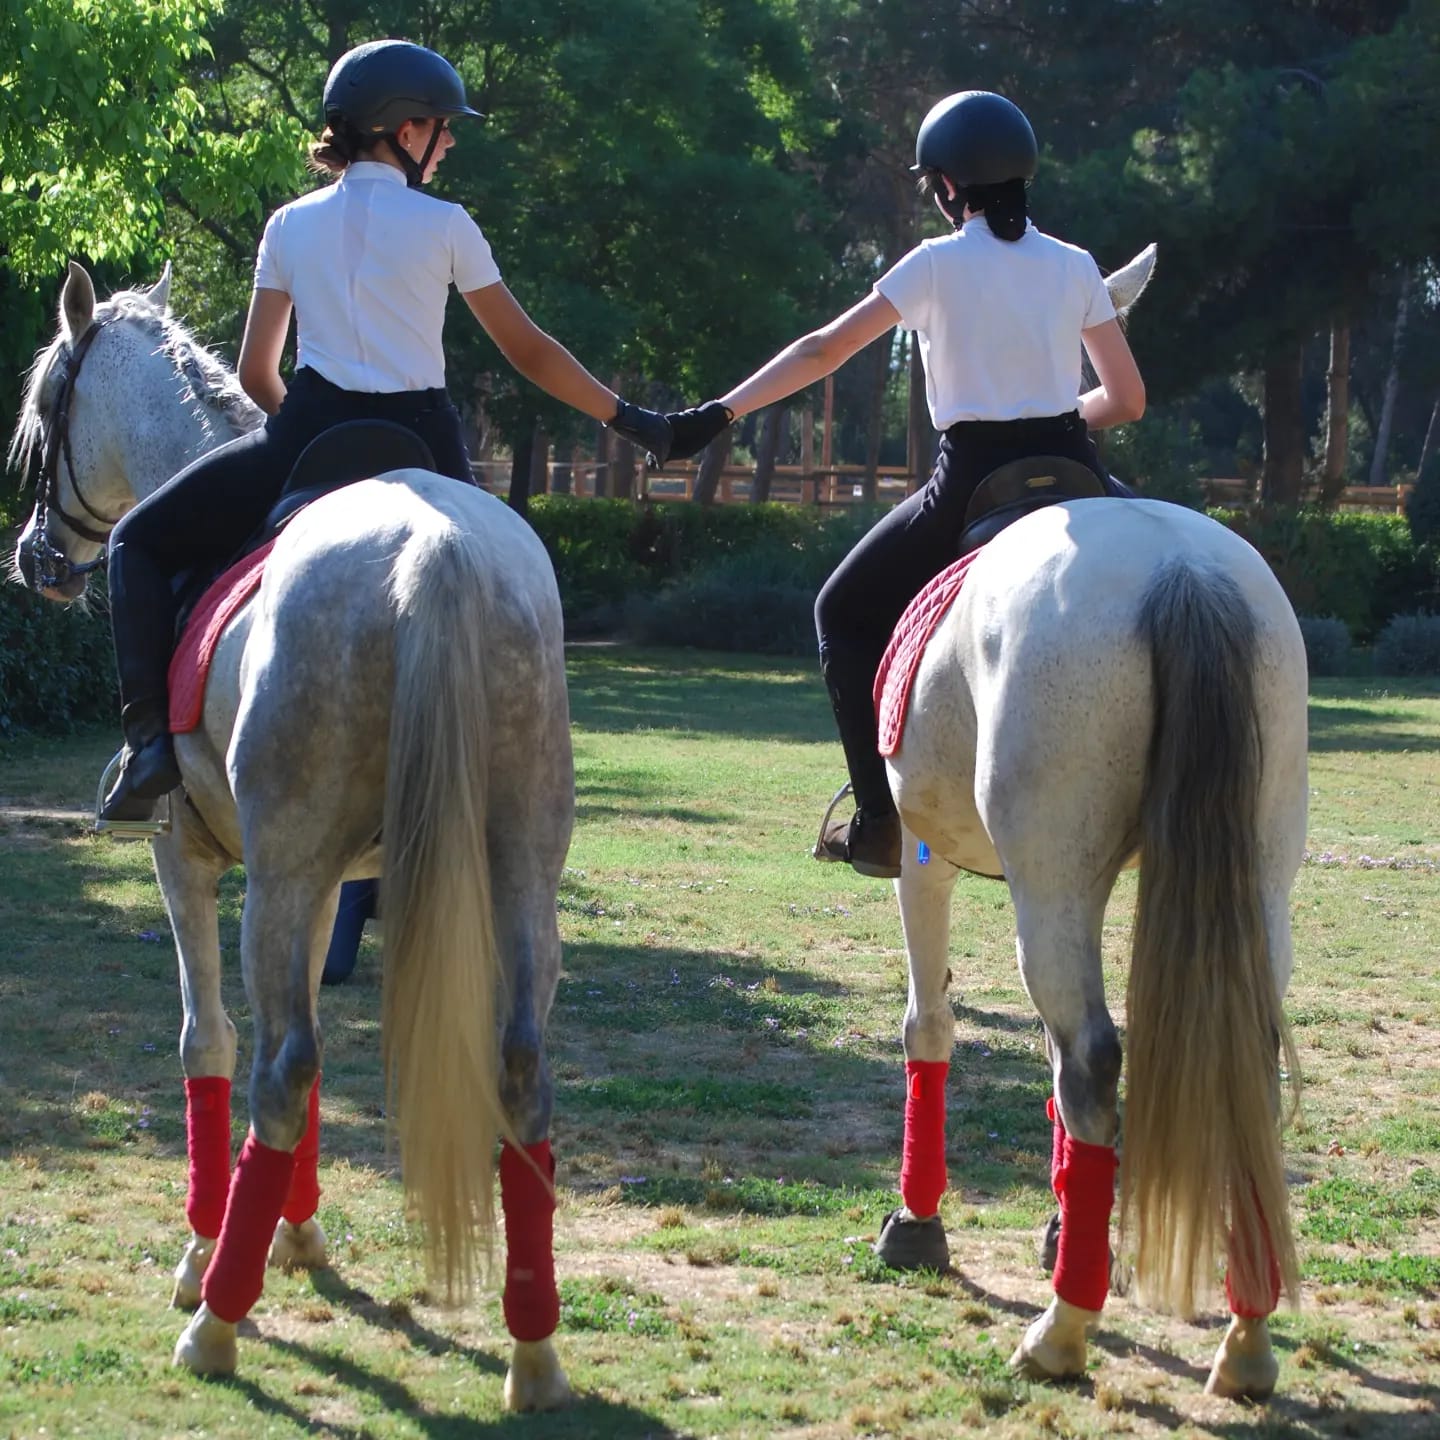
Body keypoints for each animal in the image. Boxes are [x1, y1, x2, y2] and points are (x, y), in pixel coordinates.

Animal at [11, 264, 576, 1411]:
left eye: (45, 415)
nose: (33, 559)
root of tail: (435, 550)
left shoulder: (192, 861)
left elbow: (211, 1043)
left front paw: (209, 1251)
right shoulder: (326, 886)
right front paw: (296, 1235)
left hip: (278, 876)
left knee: (280, 1062)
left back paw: (216, 1324)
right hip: (513, 870)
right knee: (515, 1068)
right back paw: (534, 1352)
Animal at [869, 492, 1313, 1393]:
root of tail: (1180, 568)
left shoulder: (922, 857)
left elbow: (928, 1028)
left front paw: (919, 1221)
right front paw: (1060, 1217)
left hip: (1051, 880)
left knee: (1092, 1058)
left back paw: (1062, 1330)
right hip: (1256, 876)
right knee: (1235, 1064)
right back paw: (1246, 1340)